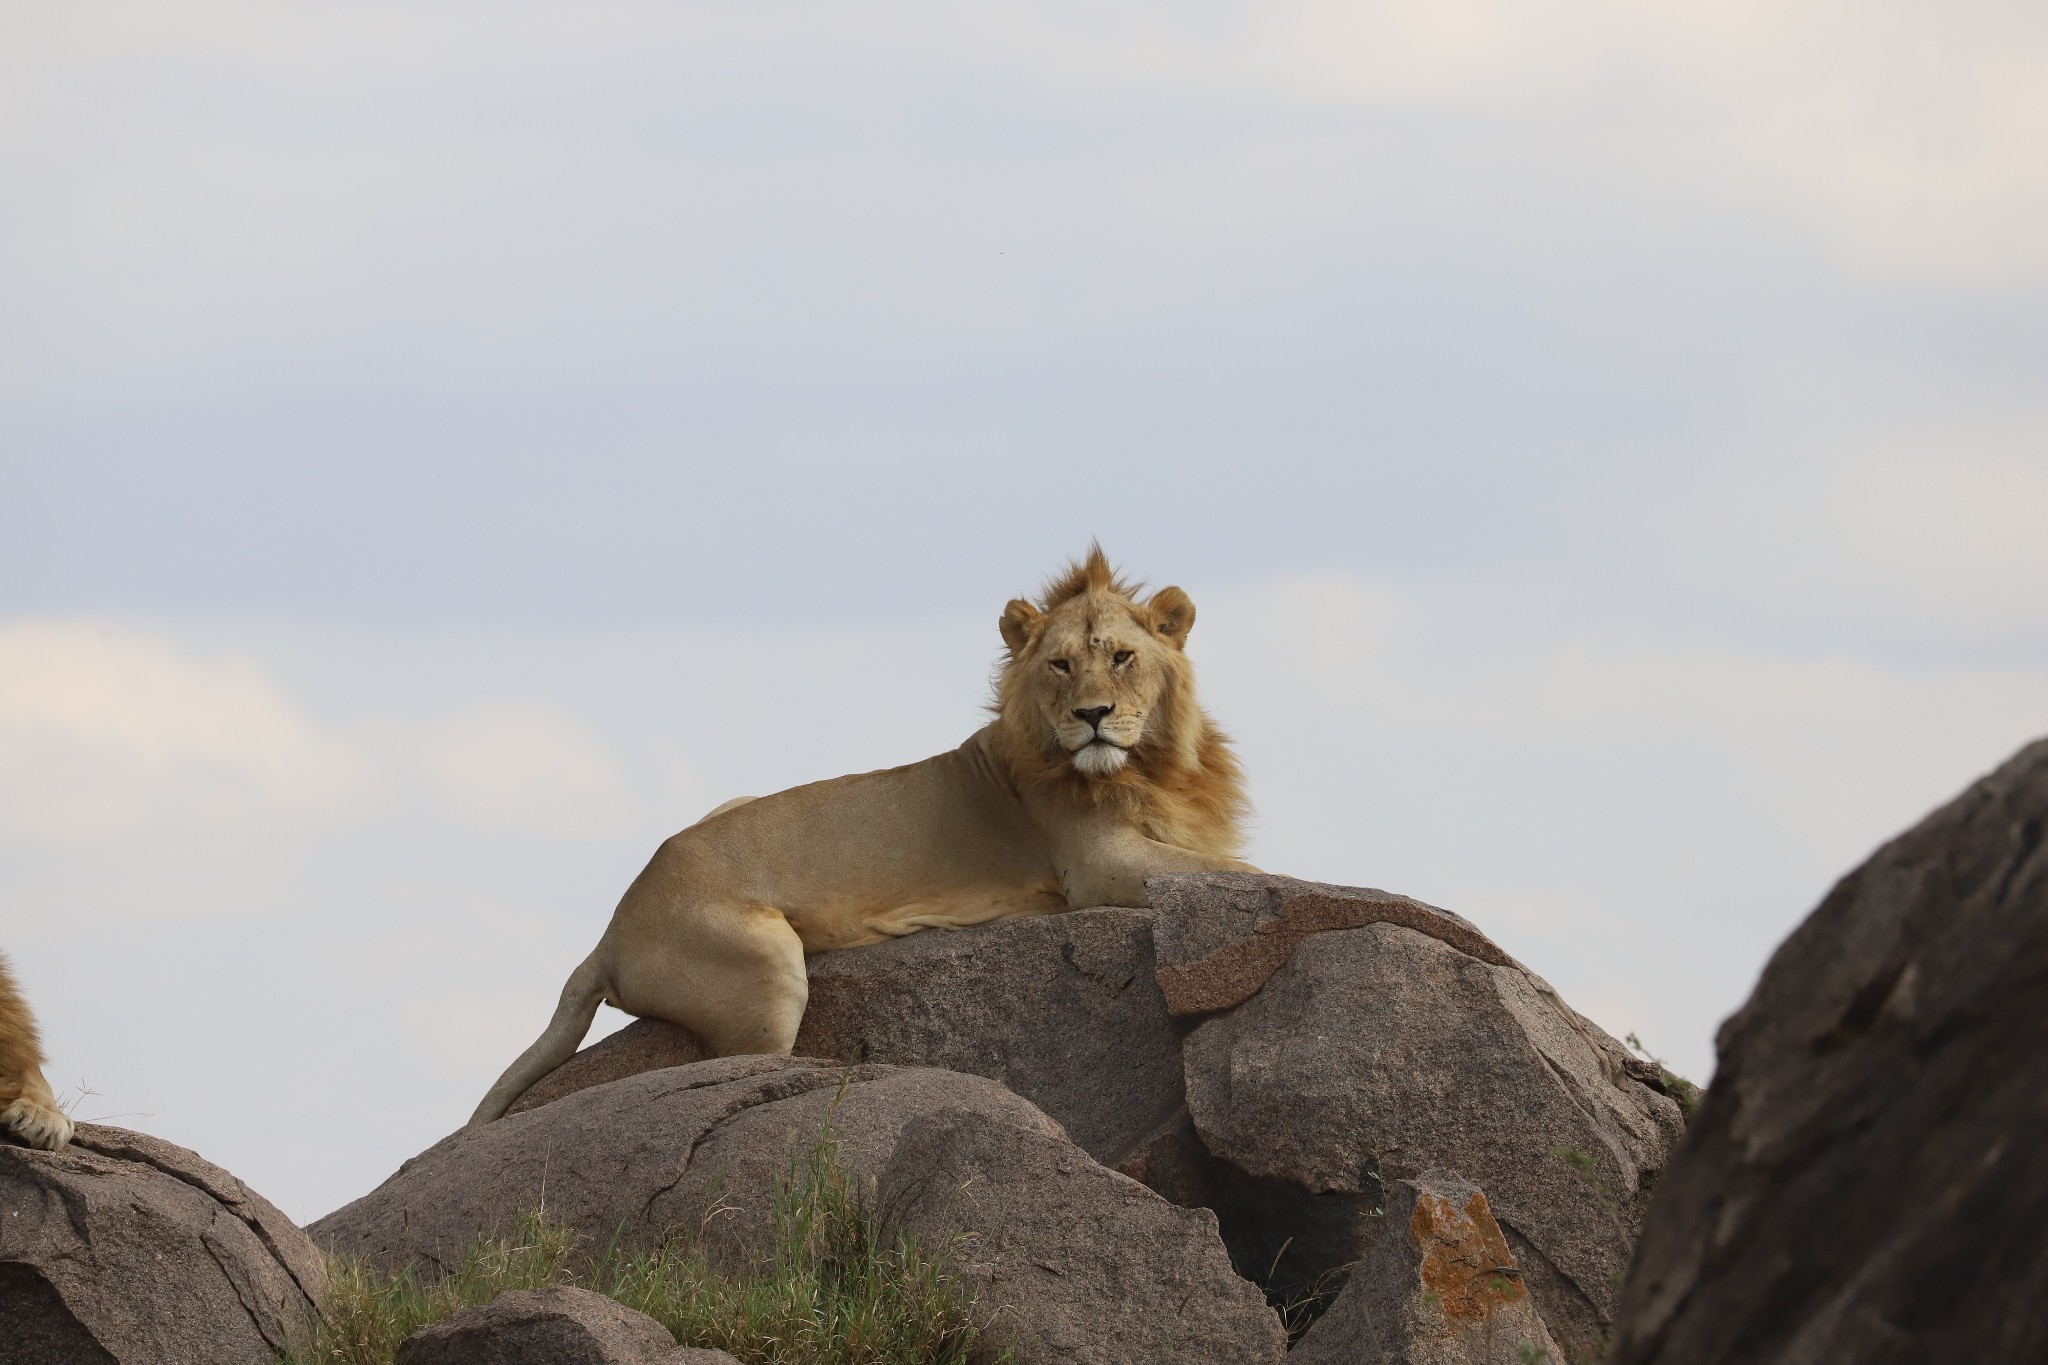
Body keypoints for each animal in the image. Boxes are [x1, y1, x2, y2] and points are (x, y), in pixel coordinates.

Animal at [471, 548, 1253, 1129]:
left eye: (1121, 657)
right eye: (1061, 665)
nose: (1092, 716)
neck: (1158, 767)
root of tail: (612, 928)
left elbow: (1231, 863)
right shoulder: (1094, 865)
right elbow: (1244, 872)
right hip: (767, 965)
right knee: (727, 1069)